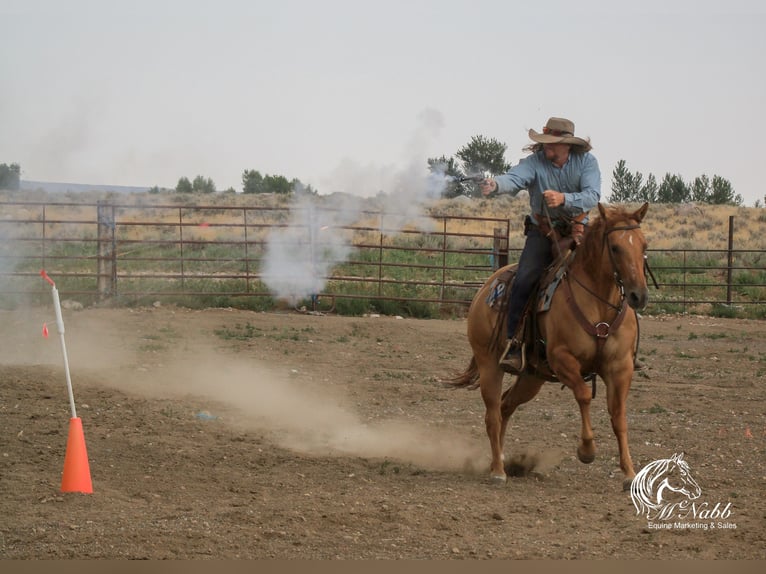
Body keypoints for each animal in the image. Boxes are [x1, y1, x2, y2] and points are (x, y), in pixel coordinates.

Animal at [450, 202, 656, 490]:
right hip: (489, 364)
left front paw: (629, 473)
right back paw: (498, 471)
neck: (599, 304)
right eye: (615, 247)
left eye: (644, 245)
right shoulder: (563, 359)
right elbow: (583, 394)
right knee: (492, 414)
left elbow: (618, 416)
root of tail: (485, 288)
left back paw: (498, 460)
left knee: (505, 406)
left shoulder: (620, 367)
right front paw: (586, 451)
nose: (639, 295)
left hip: (531, 377)